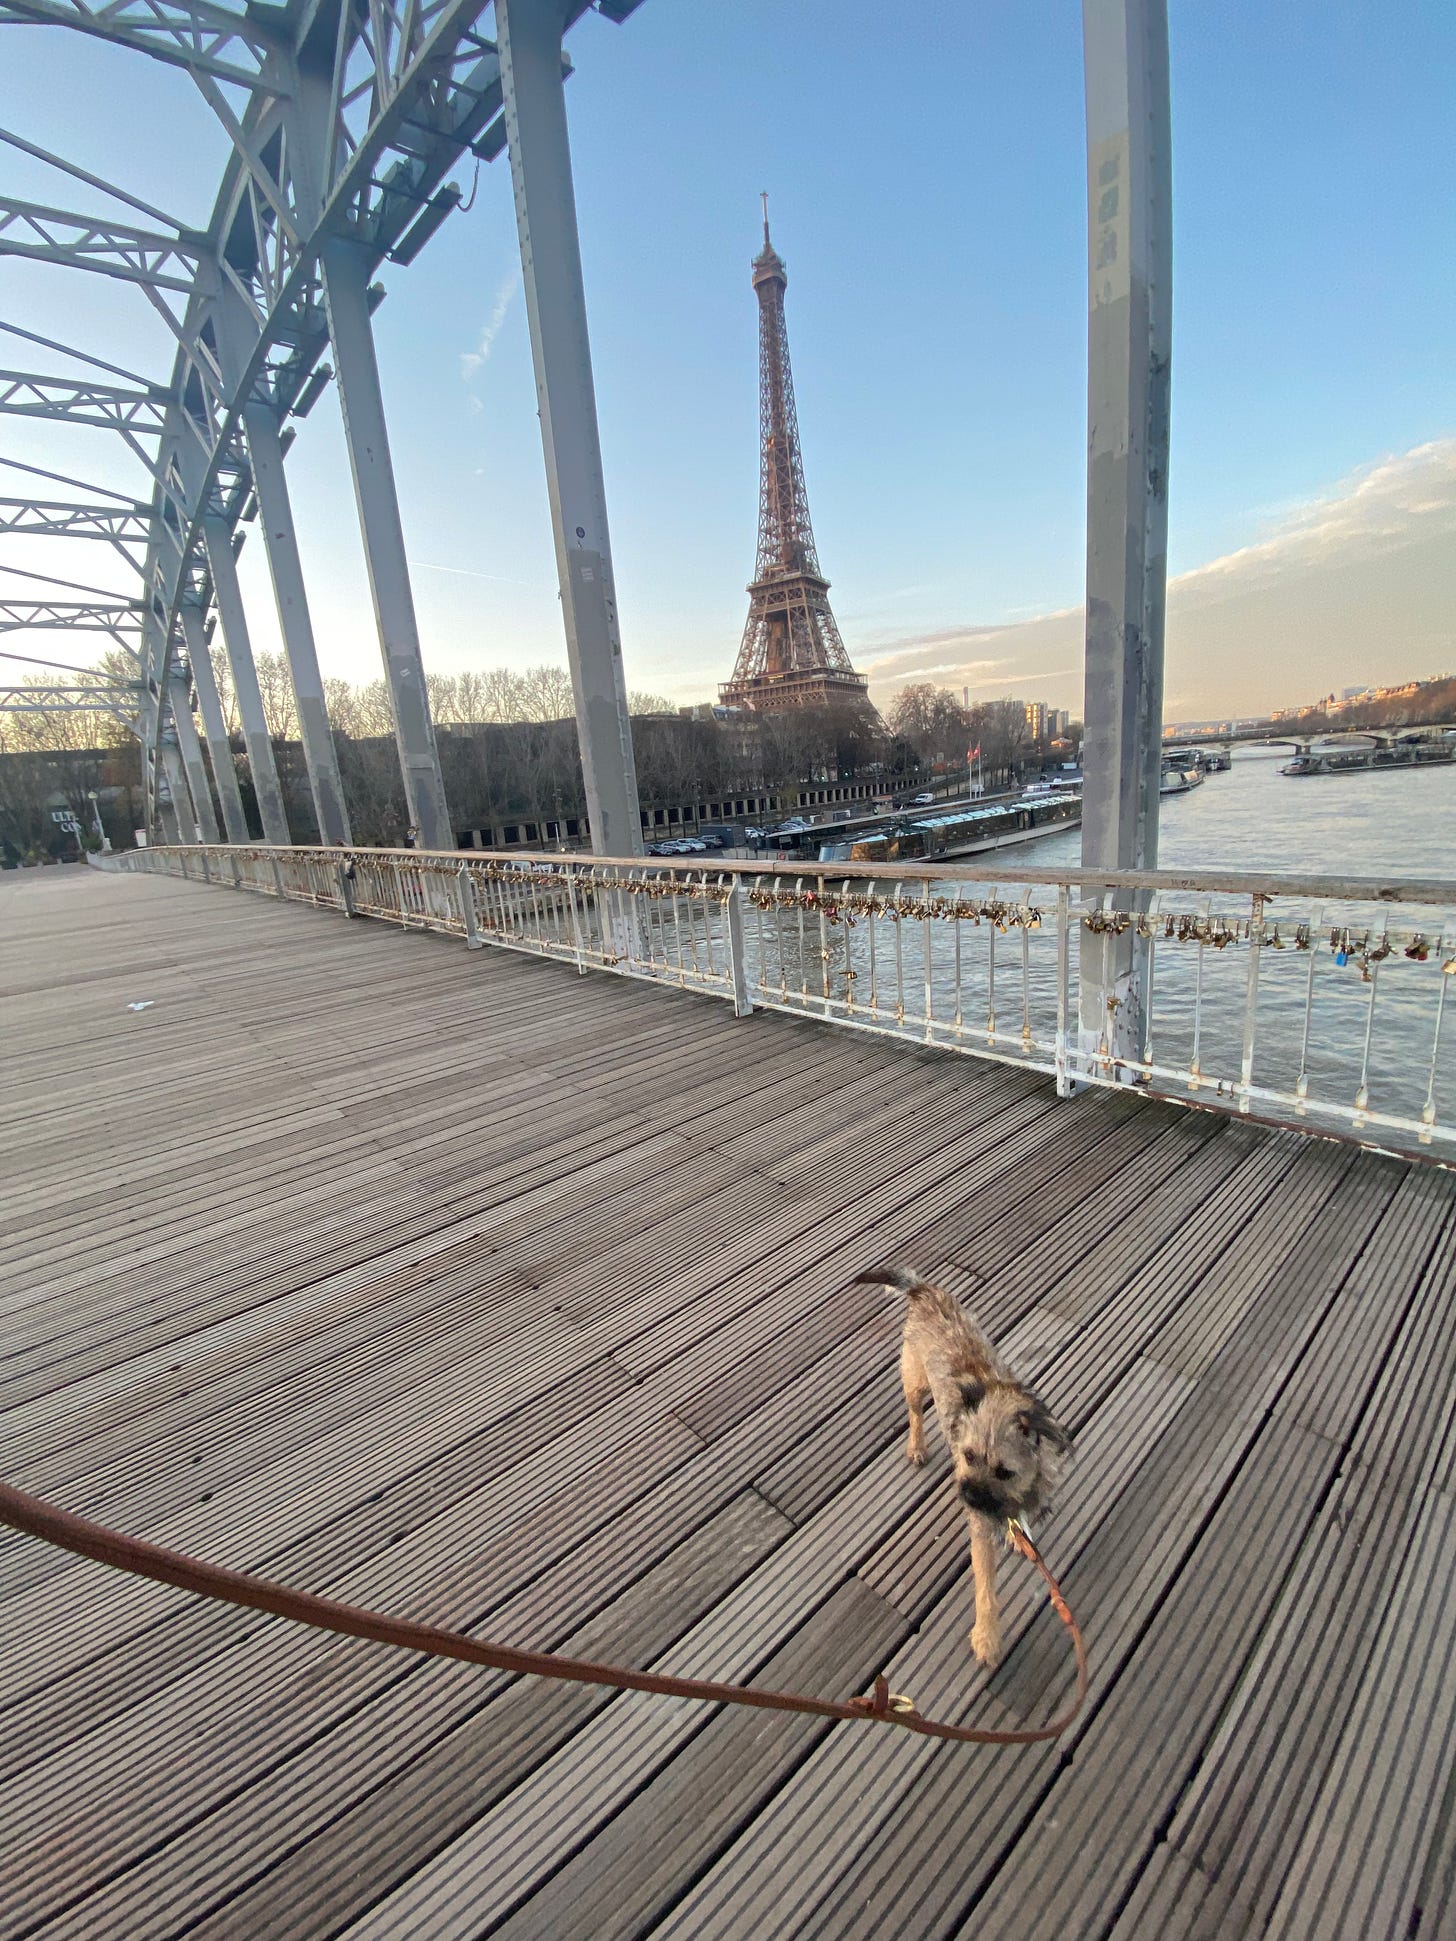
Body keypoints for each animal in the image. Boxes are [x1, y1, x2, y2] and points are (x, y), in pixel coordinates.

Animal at [854, 1265, 1071, 1661]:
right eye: (968, 1456)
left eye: (1004, 1471)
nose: (967, 1493)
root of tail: (925, 1291)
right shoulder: (981, 1530)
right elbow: (985, 1587)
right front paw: (987, 1637)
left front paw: (1019, 1533)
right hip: (915, 1379)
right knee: (915, 1414)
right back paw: (917, 1447)